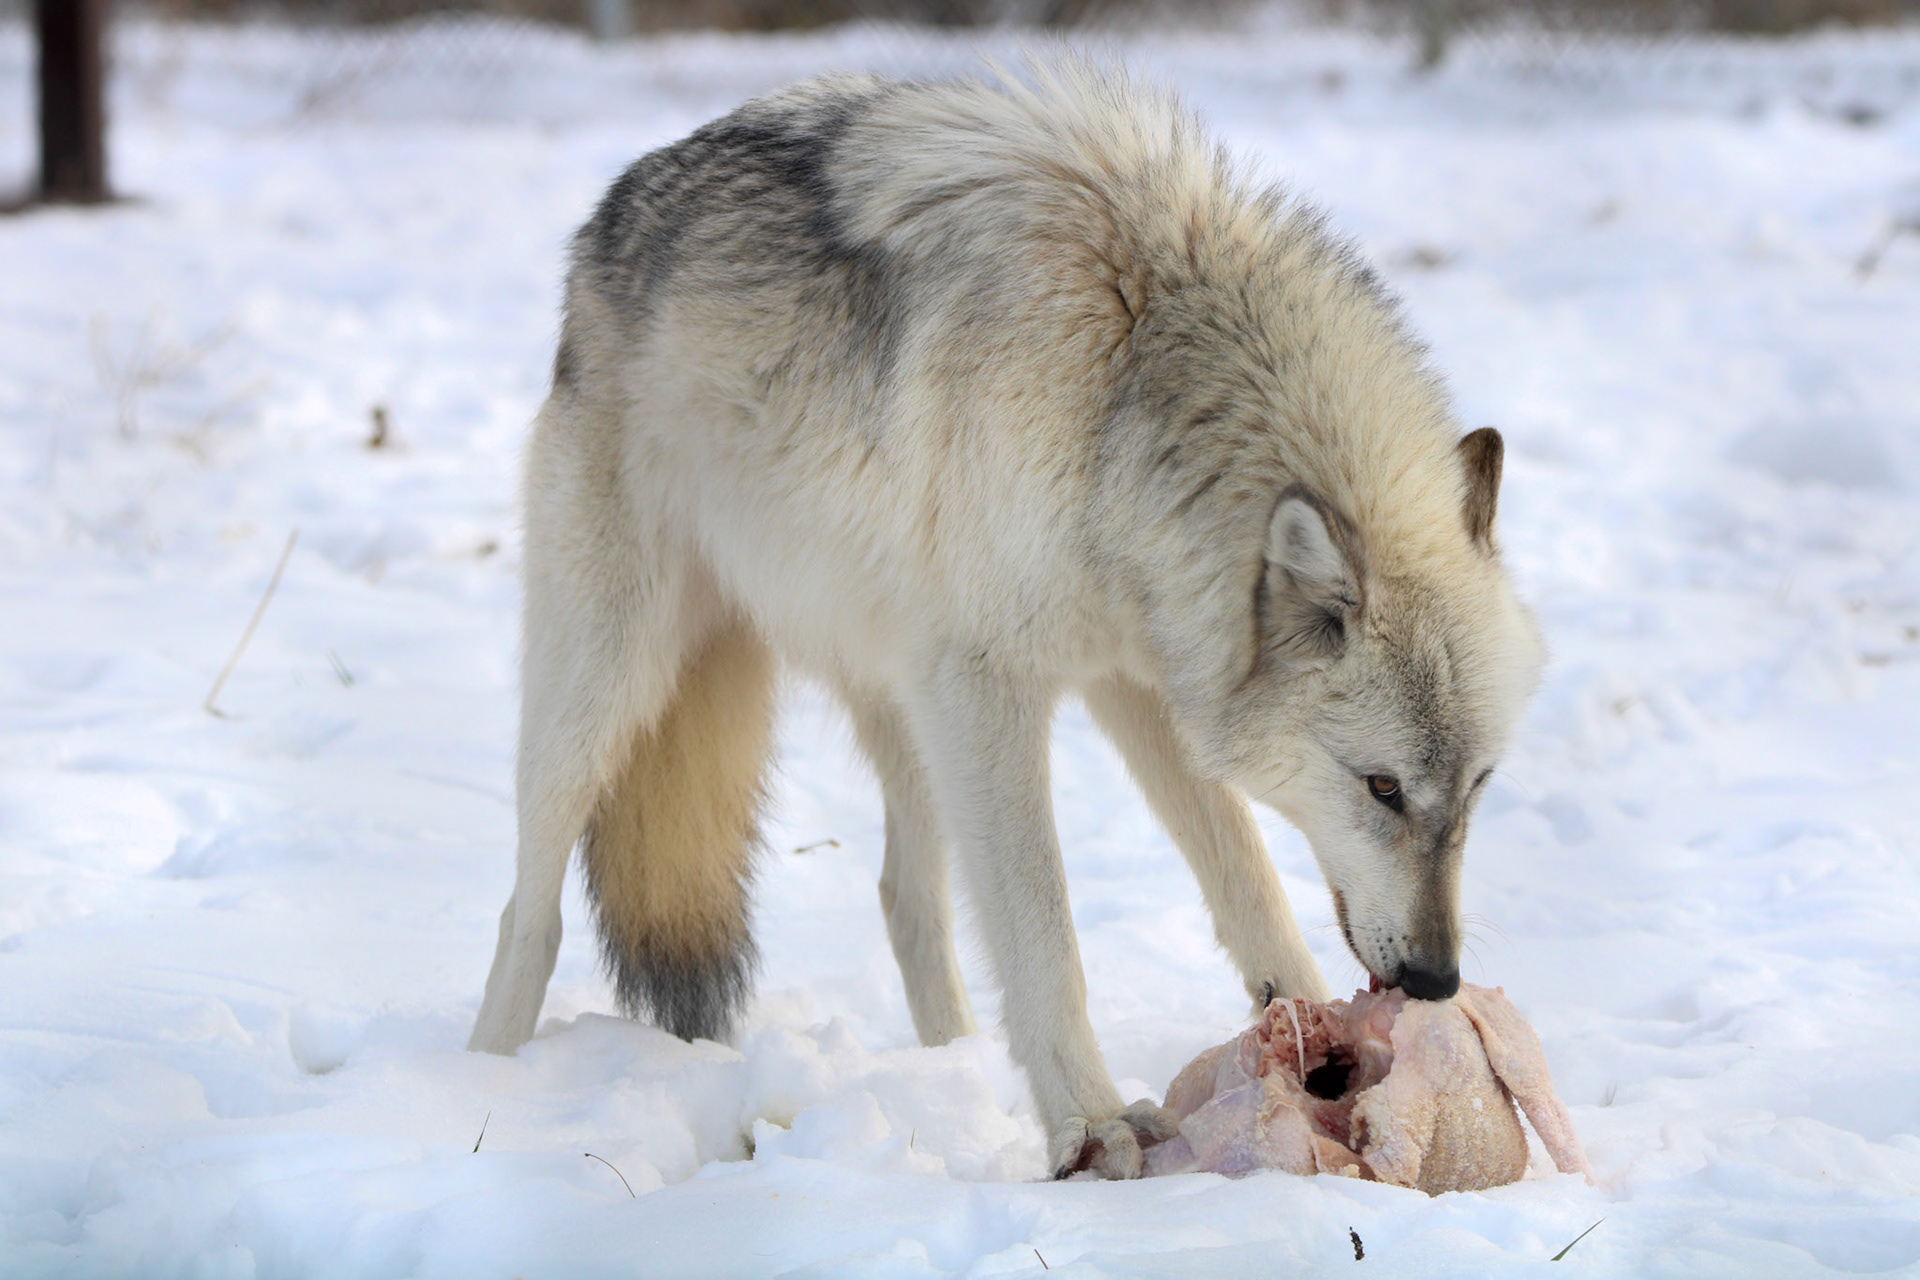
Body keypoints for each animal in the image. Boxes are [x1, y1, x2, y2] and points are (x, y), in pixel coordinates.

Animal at [467, 62, 1544, 1180]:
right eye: (1382, 787)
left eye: (1478, 786)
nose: (1436, 979)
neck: (1132, 378)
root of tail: (611, 212)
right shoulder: (993, 687)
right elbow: (1043, 932)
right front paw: (1093, 1126)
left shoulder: (1135, 679)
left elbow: (1246, 875)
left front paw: (1308, 1031)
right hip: (611, 687)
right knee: (527, 909)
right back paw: (483, 1081)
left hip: (909, 712)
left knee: (907, 902)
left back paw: (957, 1075)